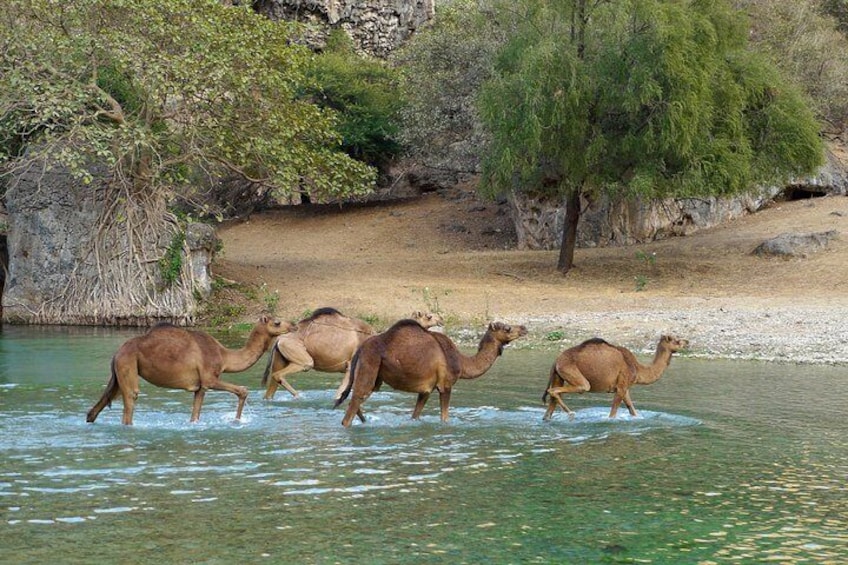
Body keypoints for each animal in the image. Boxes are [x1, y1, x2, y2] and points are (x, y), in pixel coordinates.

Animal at [85, 312, 294, 424]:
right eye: (277, 322)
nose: (292, 325)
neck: (224, 356)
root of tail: (117, 353)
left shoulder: (200, 387)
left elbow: (195, 415)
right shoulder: (210, 378)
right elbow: (242, 390)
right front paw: (236, 421)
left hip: (119, 372)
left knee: (101, 403)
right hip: (127, 364)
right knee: (130, 400)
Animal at [260, 308, 444, 400]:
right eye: (429, 316)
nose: (441, 319)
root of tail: (279, 339)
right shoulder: (352, 366)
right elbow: (339, 394)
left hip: (281, 356)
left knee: (271, 386)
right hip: (298, 353)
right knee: (287, 372)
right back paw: (299, 396)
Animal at [336, 320, 528, 426]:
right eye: (507, 328)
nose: (524, 328)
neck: (462, 362)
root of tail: (360, 349)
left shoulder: (425, 390)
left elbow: (415, 415)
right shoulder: (446, 385)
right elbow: (445, 418)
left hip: (376, 377)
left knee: (356, 400)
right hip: (370, 364)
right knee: (353, 404)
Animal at [544, 334, 688, 418]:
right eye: (676, 341)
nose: (687, 342)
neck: (637, 369)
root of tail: (556, 360)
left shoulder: (625, 387)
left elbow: (632, 410)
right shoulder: (621, 387)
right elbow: (613, 413)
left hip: (558, 375)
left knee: (550, 405)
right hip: (570, 370)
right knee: (561, 389)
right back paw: (570, 413)